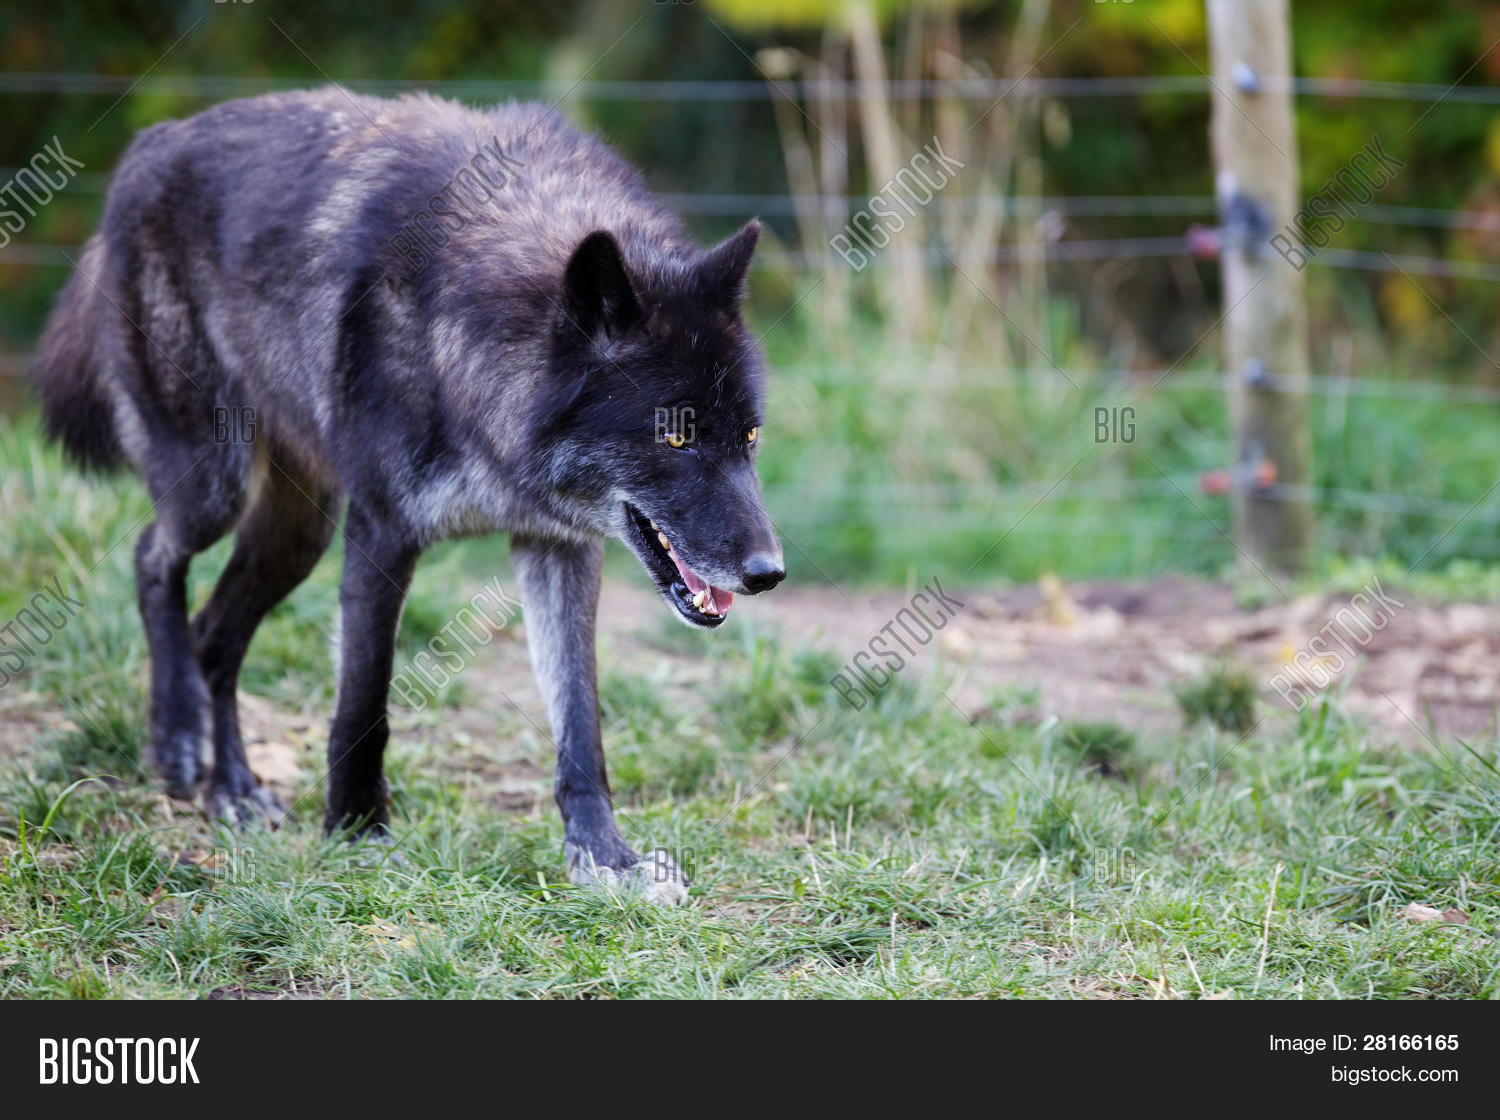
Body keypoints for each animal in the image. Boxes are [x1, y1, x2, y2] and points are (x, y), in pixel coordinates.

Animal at [32, 88, 784, 900]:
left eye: (749, 437)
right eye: (674, 439)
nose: (769, 573)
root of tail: (151, 142)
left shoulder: (559, 546)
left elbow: (580, 721)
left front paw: (604, 856)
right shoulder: (383, 532)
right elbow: (364, 700)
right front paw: (357, 832)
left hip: (299, 531)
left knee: (215, 631)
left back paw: (230, 787)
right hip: (216, 485)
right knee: (152, 556)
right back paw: (176, 735)